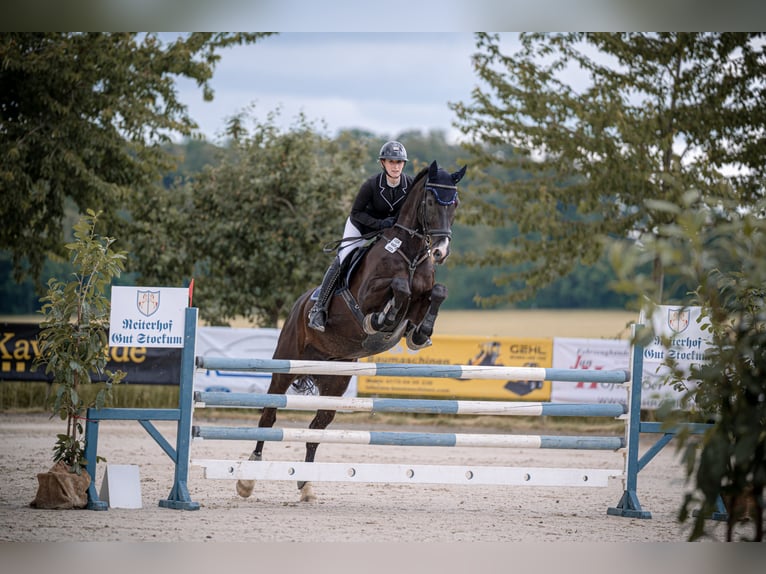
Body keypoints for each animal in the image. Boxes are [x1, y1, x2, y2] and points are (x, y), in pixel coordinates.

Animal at [238, 160, 468, 502]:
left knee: (317, 426)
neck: (411, 253)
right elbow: (398, 288)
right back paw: (247, 479)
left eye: (454, 203)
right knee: (269, 415)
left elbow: (437, 292)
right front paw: (384, 319)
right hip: (286, 363)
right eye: (429, 202)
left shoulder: (423, 297)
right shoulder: (368, 295)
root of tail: (298, 307)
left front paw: (420, 334)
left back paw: (306, 485)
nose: (440, 251)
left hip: (335, 379)